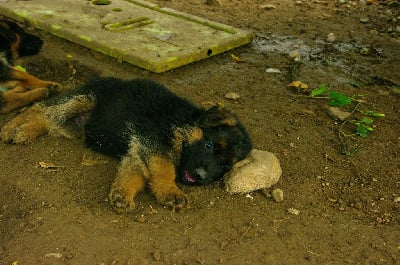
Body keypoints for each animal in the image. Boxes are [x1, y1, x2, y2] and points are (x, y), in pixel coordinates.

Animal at [0, 76, 253, 210]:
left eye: (225, 167)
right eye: (209, 146)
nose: (201, 177)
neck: (184, 124)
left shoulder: (138, 147)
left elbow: (133, 173)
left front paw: (122, 194)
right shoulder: (154, 141)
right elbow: (164, 169)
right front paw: (171, 192)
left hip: (73, 126)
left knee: (47, 120)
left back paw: (24, 130)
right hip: (81, 100)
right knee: (41, 110)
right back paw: (13, 128)